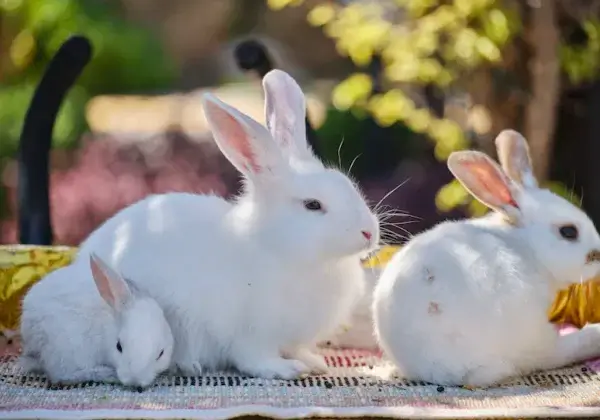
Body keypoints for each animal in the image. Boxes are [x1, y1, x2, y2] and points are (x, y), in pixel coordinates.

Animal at [19, 253, 175, 390]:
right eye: (118, 346)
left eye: (161, 353)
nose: (134, 381)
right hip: (70, 349)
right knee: (62, 375)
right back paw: (107, 374)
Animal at [72, 69, 378, 380]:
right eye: (313, 205)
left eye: (348, 184)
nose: (369, 232)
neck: (278, 248)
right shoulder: (252, 332)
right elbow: (254, 359)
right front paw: (287, 369)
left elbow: (296, 349)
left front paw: (314, 362)